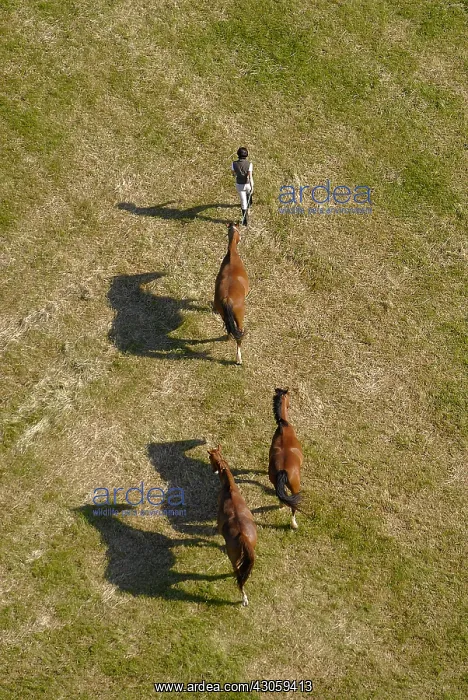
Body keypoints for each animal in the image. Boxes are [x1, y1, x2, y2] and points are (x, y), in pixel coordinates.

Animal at [208, 445, 257, 606]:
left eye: (210, 457)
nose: (213, 471)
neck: (230, 490)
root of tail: (243, 537)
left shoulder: (219, 524)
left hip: (234, 559)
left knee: (239, 576)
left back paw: (243, 597)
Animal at [213, 222, 249, 364]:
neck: (232, 257)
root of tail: (228, 299)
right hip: (239, 317)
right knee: (239, 333)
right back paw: (238, 358)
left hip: (224, 314)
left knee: (229, 328)